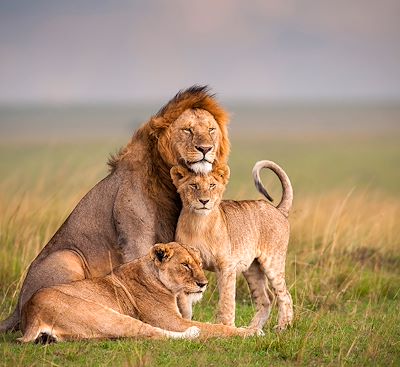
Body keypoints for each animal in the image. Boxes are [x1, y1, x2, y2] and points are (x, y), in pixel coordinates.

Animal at [0, 85, 230, 334]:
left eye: (211, 130)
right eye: (187, 130)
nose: (205, 149)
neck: (167, 180)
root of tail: (18, 308)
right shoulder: (136, 238)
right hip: (67, 257)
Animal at [18, 243, 260, 344]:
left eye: (199, 264)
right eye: (185, 265)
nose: (203, 284)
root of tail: (31, 313)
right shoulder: (172, 321)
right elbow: (215, 328)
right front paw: (250, 331)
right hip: (103, 314)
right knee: (151, 332)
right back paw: (193, 333)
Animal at [171, 161, 294, 330]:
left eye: (212, 185)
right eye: (194, 185)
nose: (204, 201)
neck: (199, 224)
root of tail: (278, 209)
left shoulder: (226, 266)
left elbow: (227, 300)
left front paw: (227, 326)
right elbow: (184, 303)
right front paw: (185, 323)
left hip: (273, 262)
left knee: (285, 295)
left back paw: (282, 327)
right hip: (252, 268)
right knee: (266, 298)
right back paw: (253, 329)